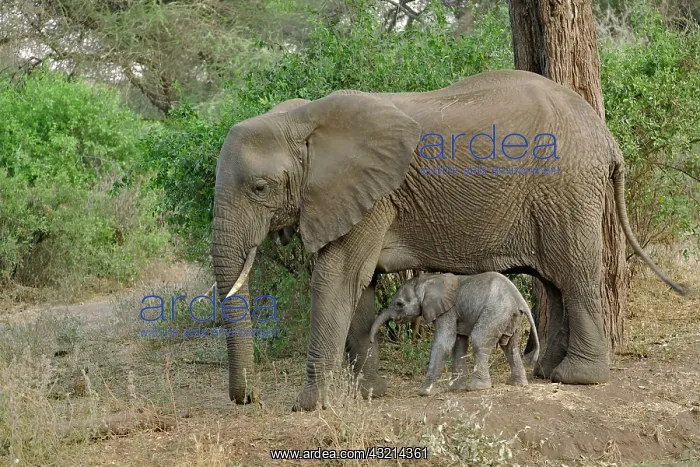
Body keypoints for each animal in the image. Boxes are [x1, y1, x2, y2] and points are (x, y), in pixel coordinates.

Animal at [369, 272, 539, 396]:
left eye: (399, 304)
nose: (371, 341)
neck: (428, 279)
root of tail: (519, 299)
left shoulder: (447, 311)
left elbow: (443, 343)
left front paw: (425, 392)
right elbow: (458, 344)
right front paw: (455, 388)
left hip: (497, 312)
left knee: (480, 340)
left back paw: (477, 387)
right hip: (510, 316)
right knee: (510, 346)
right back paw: (517, 383)